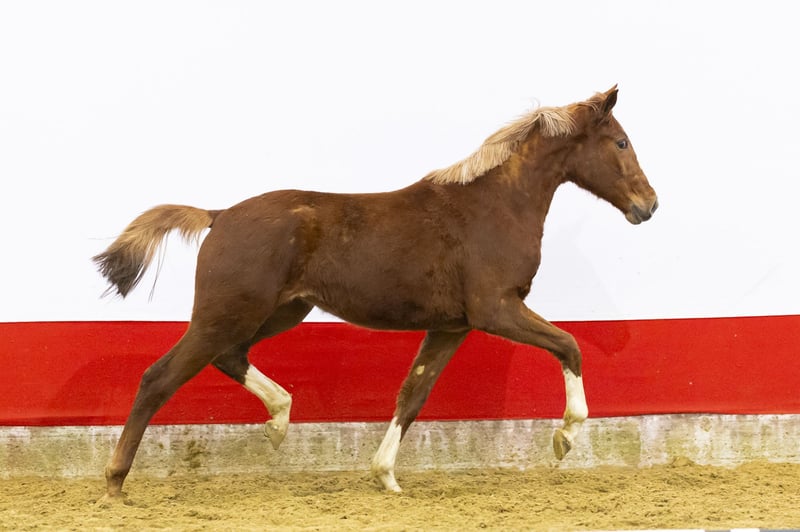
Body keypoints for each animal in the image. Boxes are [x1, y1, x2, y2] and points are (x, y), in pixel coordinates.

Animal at [93, 86, 658, 500]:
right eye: (621, 143)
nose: (649, 205)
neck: (493, 207)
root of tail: (219, 215)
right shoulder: (496, 309)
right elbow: (569, 344)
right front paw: (564, 439)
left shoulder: (451, 325)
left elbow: (413, 393)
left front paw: (385, 475)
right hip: (228, 313)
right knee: (159, 377)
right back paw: (115, 483)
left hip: (280, 311)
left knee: (228, 357)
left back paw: (279, 421)